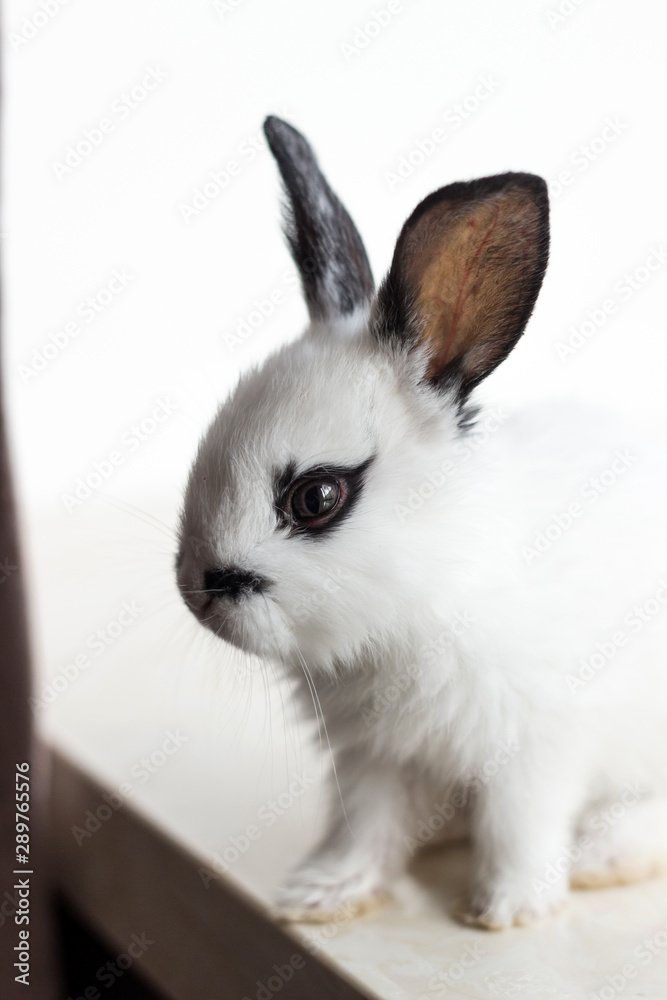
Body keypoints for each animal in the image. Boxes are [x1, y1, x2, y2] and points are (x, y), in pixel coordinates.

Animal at [177, 115, 667, 929]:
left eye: (316, 497)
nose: (197, 593)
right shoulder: (373, 758)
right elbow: (366, 827)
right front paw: (321, 896)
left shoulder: (535, 745)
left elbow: (519, 826)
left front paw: (506, 910)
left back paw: (600, 855)